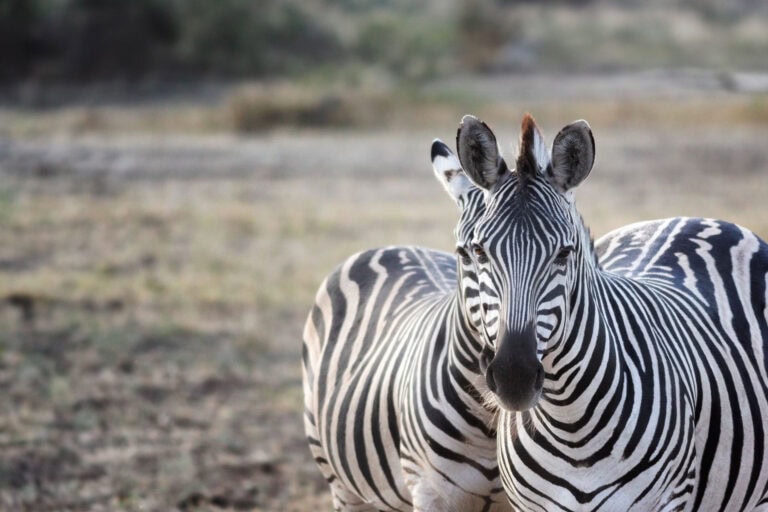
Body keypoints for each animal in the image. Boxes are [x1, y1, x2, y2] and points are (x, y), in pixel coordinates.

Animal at [301, 140, 513, 511]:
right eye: (466, 253)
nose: (509, 369)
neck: (487, 424)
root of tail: (395, 246)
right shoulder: (430, 492)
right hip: (336, 476)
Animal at [452, 113, 768, 511]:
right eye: (479, 252)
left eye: (565, 253)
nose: (514, 377)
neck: (569, 422)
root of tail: (695, 217)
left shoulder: (670, 499)